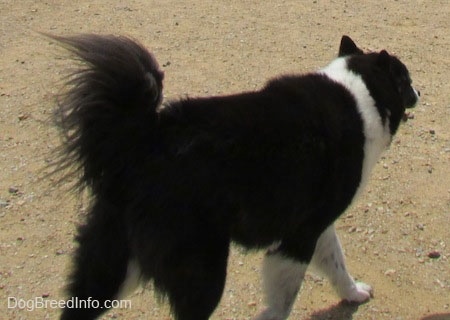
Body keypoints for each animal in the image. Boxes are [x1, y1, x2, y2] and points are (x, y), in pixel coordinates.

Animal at [51, 33, 418, 318]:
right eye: (407, 79)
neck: (361, 93)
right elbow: (283, 302)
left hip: (109, 266)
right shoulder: (299, 236)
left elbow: (336, 263)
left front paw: (353, 293)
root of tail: (143, 142)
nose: (420, 91)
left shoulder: (317, 224)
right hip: (202, 271)